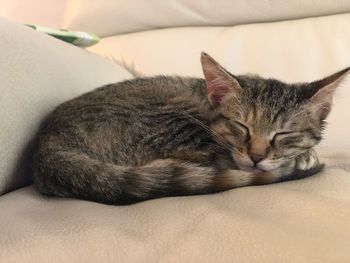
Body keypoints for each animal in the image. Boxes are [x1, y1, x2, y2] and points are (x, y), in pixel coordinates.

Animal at [31, 53, 348, 206]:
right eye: (240, 126)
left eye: (283, 134)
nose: (256, 157)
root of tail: (46, 146)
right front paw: (303, 158)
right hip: (176, 119)